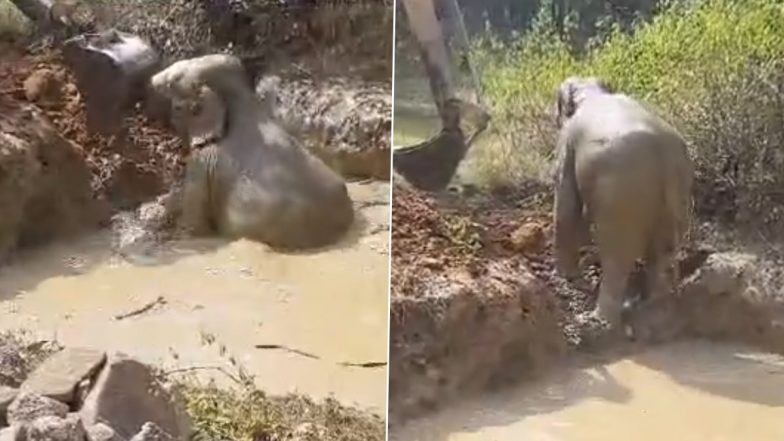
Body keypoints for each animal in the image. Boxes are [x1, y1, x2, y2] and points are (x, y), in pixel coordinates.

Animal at [552, 75, 692, 326]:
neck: (593, 91)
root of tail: (664, 154)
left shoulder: (568, 142)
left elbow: (566, 201)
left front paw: (565, 276)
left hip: (622, 197)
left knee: (617, 256)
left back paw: (597, 319)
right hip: (677, 195)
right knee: (663, 252)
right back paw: (655, 310)